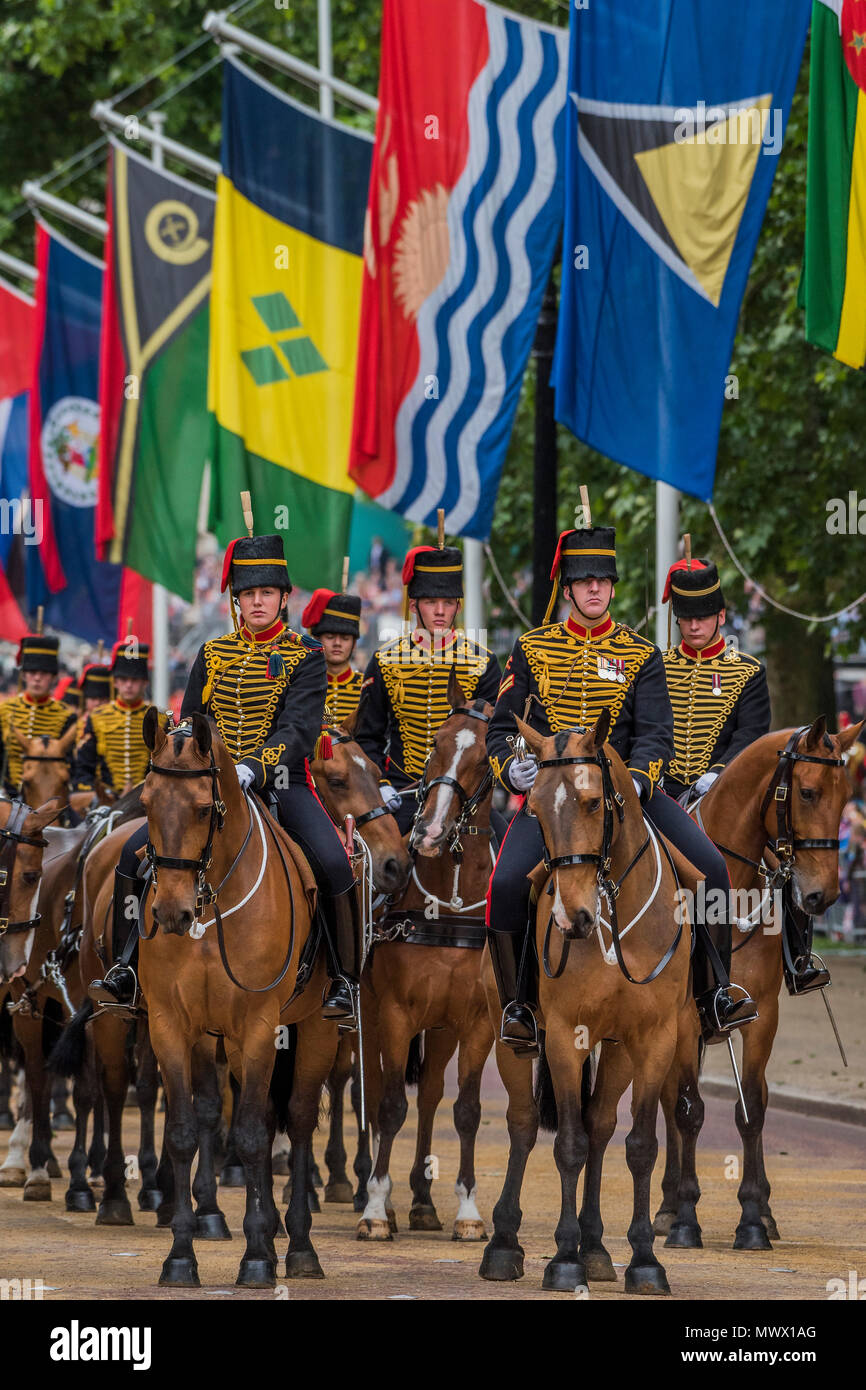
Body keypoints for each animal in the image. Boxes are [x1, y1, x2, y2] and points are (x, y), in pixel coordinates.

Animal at [134, 711, 340, 1284]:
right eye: (146, 803)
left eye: (204, 808)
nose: (171, 914)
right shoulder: (171, 1025)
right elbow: (185, 1131)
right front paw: (181, 1254)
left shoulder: (258, 1025)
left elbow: (249, 1135)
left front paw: (256, 1260)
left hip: (315, 1027)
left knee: (296, 1118)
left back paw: (298, 1247)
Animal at [480, 711, 692, 1295]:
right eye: (534, 809)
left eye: (595, 802)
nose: (571, 919)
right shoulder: (563, 1034)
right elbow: (567, 1144)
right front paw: (563, 1257)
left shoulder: (655, 1038)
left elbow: (638, 1145)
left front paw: (644, 1260)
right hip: (511, 1036)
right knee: (524, 1122)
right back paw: (504, 1244)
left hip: (617, 1047)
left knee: (600, 1124)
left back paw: (597, 1247)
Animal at [653, 717, 861, 1251]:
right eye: (807, 792)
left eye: (847, 794)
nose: (823, 895)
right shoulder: (685, 1017)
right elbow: (688, 1110)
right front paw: (684, 1218)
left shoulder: (760, 1015)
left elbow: (752, 1109)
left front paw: (751, 1219)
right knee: (667, 1101)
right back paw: (665, 1208)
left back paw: (762, 1213)